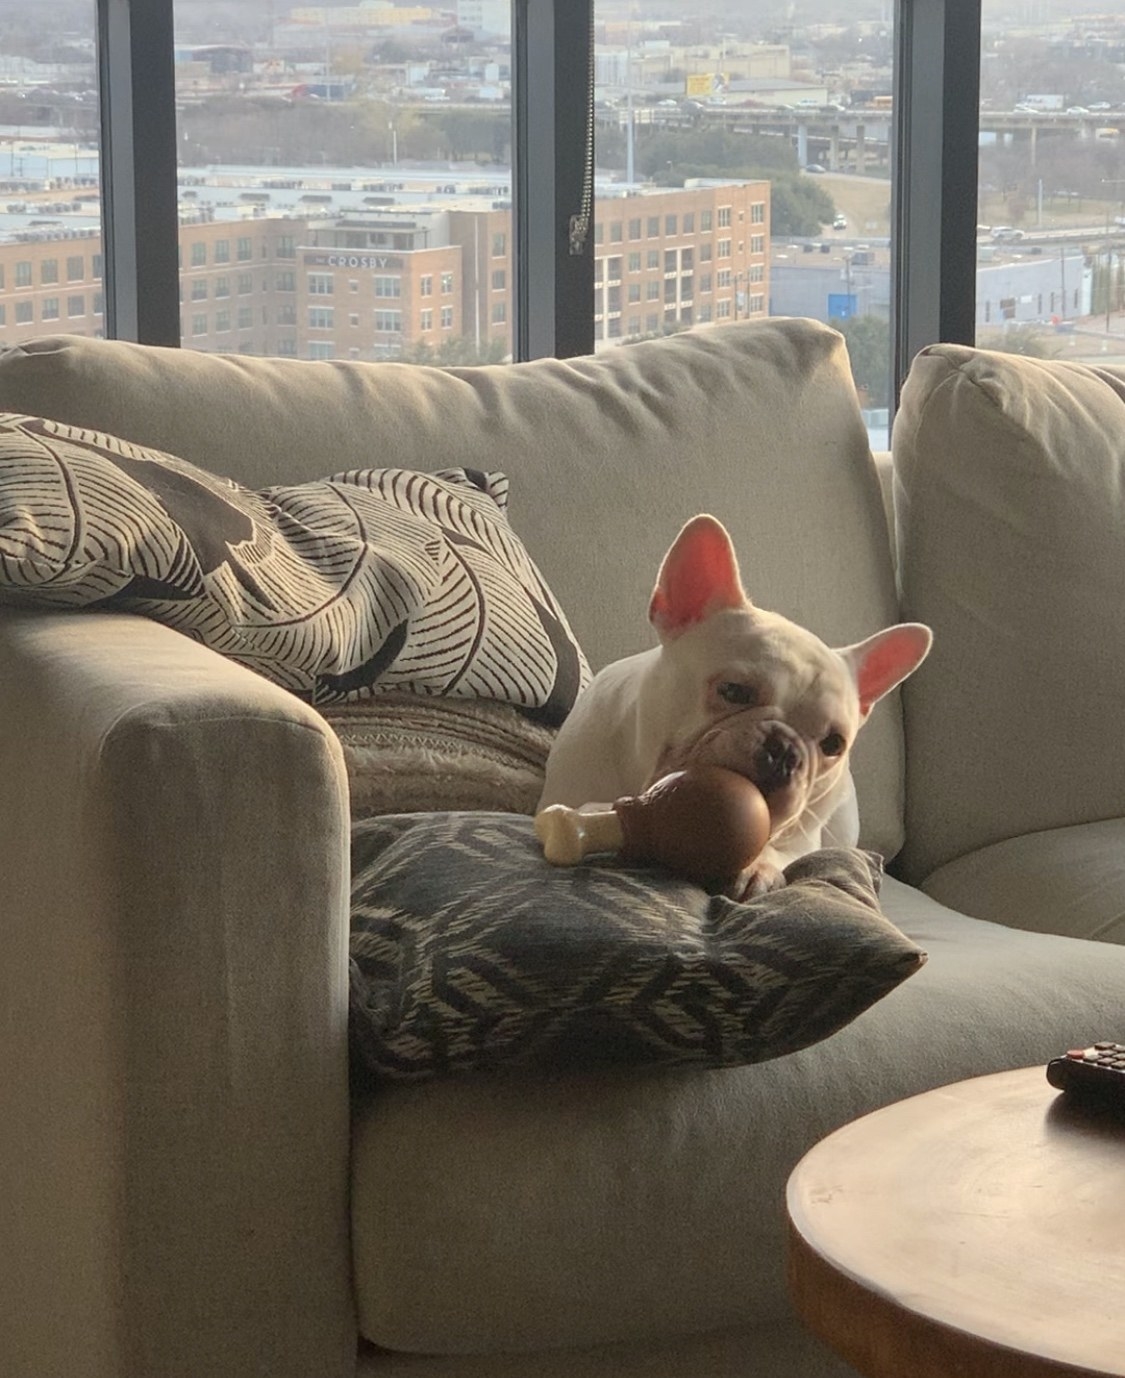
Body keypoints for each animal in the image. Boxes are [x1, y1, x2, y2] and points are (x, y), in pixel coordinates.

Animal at [534, 515, 931, 892]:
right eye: (734, 691)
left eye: (833, 743)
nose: (785, 750)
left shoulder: (801, 839)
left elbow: (777, 848)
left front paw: (757, 868)